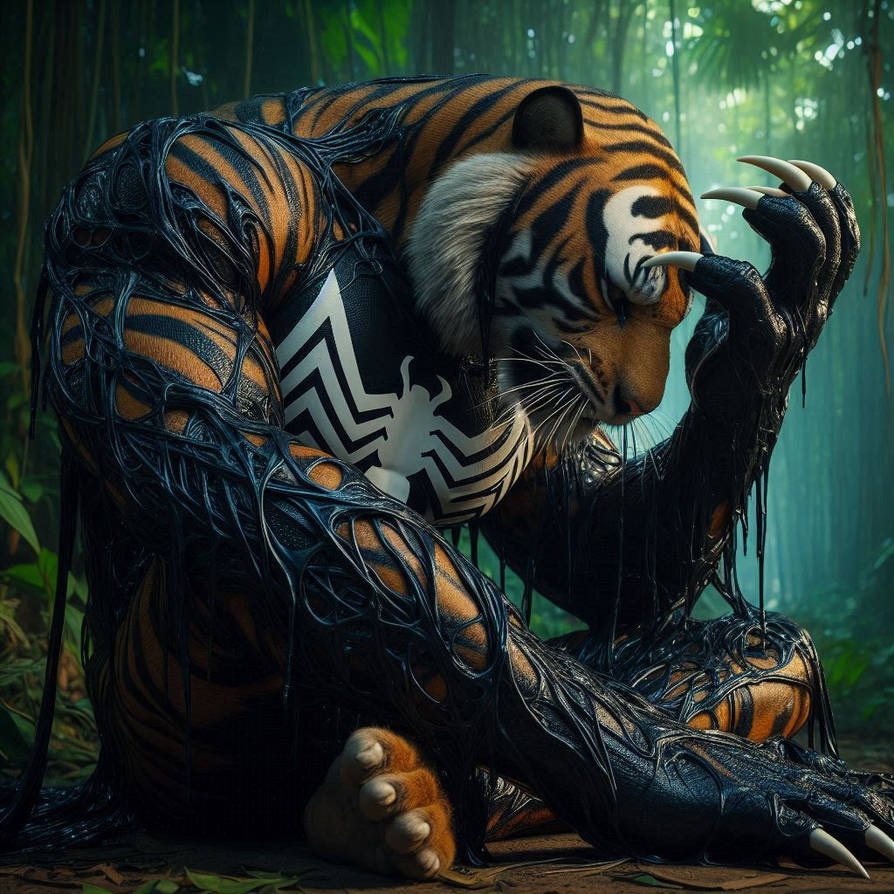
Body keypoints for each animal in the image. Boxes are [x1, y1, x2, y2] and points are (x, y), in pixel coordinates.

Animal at [7, 75, 890, 881]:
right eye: (620, 296)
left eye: (678, 317)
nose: (639, 402)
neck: (394, 203)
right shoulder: (167, 199)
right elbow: (226, 448)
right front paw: (702, 779)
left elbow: (600, 547)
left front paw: (782, 301)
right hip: (172, 724)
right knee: (256, 516)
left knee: (771, 641)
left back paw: (400, 799)